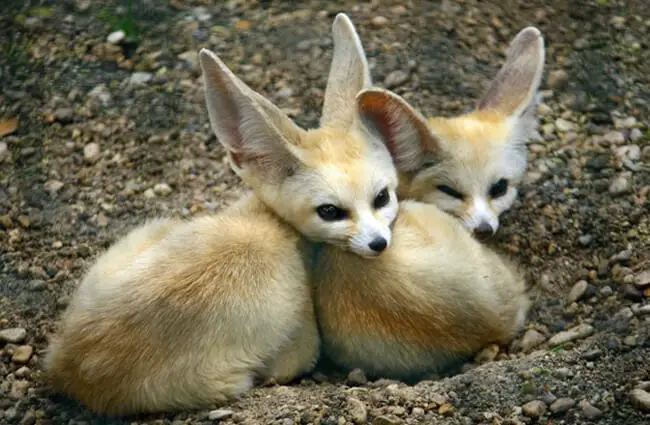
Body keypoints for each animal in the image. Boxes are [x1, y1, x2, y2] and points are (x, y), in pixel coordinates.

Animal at [44, 14, 400, 416]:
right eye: (330, 211)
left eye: (382, 197)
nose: (378, 243)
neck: (274, 226)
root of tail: (67, 367)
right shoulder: (299, 341)